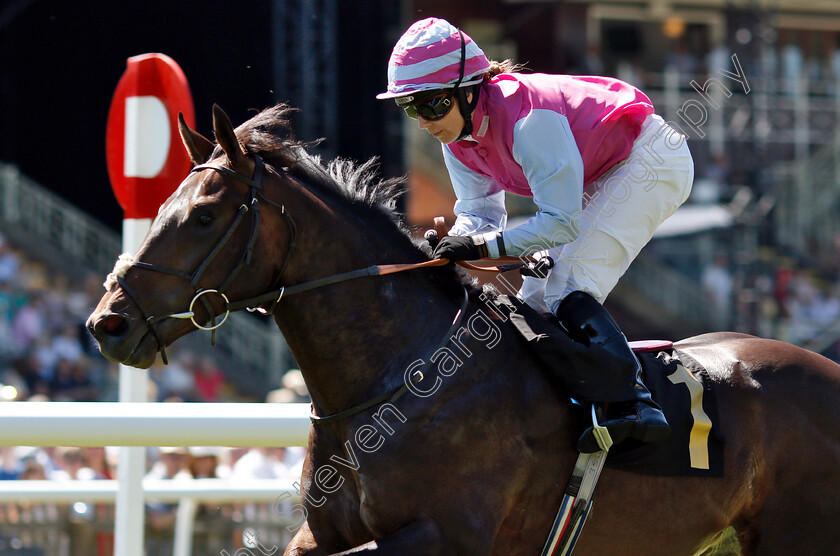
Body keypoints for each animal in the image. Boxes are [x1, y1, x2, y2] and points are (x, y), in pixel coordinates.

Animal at [87, 105, 840, 556]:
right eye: (165, 202)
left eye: (205, 215)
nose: (107, 324)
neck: (402, 378)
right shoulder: (323, 532)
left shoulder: (446, 536)